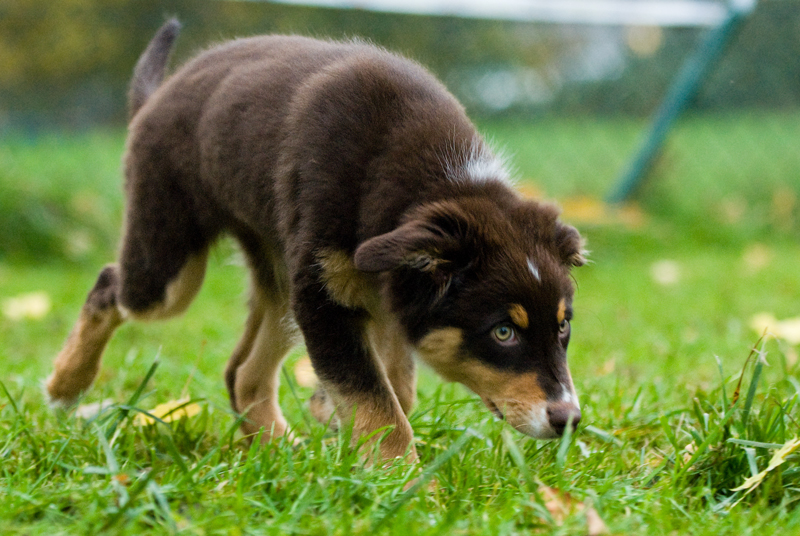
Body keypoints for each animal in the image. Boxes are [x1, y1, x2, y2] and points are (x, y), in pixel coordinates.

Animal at [47, 21, 584, 460]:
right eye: (503, 332)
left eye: (563, 326)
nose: (569, 420)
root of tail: (156, 97)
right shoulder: (325, 297)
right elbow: (378, 402)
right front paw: (407, 485)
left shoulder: (377, 295)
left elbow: (395, 386)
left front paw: (335, 421)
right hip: (172, 268)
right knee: (110, 285)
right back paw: (64, 388)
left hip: (282, 278)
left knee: (243, 373)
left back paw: (280, 454)